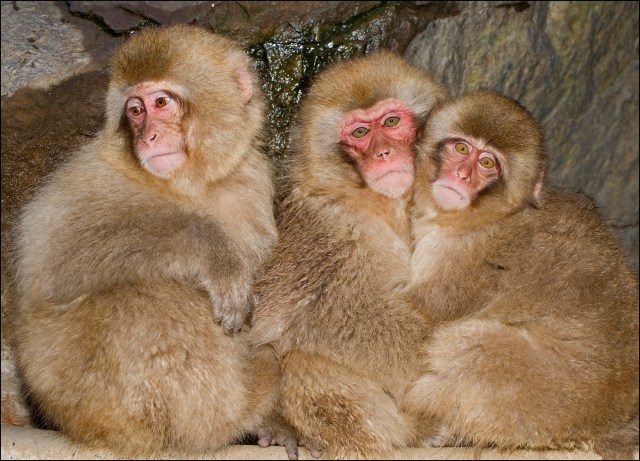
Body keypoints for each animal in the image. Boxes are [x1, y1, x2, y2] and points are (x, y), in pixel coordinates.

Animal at [9, 24, 291, 456]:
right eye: (135, 111)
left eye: (161, 102)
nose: (149, 137)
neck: (188, 185)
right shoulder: (88, 175)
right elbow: (62, 262)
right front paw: (215, 252)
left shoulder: (250, 181)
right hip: (90, 399)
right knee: (145, 299)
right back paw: (235, 413)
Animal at [249, 51, 448, 459]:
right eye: (360, 134)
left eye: (391, 122)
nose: (383, 153)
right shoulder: (332, 228)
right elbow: (326, 316)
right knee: (303, 359)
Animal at [401, 90, 639, 459]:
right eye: (461, 149)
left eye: (487, 164)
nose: (461, 177)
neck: (489, 217)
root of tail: (606, 421)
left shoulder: (462, 257)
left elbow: (423, 313)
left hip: (538, 397)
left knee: (467, 346)